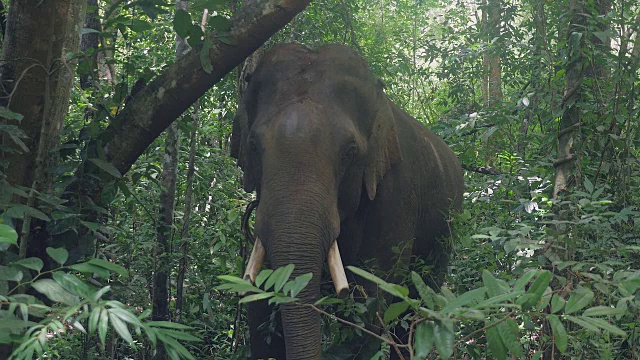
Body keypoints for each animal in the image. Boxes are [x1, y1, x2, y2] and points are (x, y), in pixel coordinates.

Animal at [232, 43, 462, 358]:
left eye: (350, 151)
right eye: (254, 146)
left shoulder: (396, 193)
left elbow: (372, 301)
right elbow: (259, 305)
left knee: (415, 307)